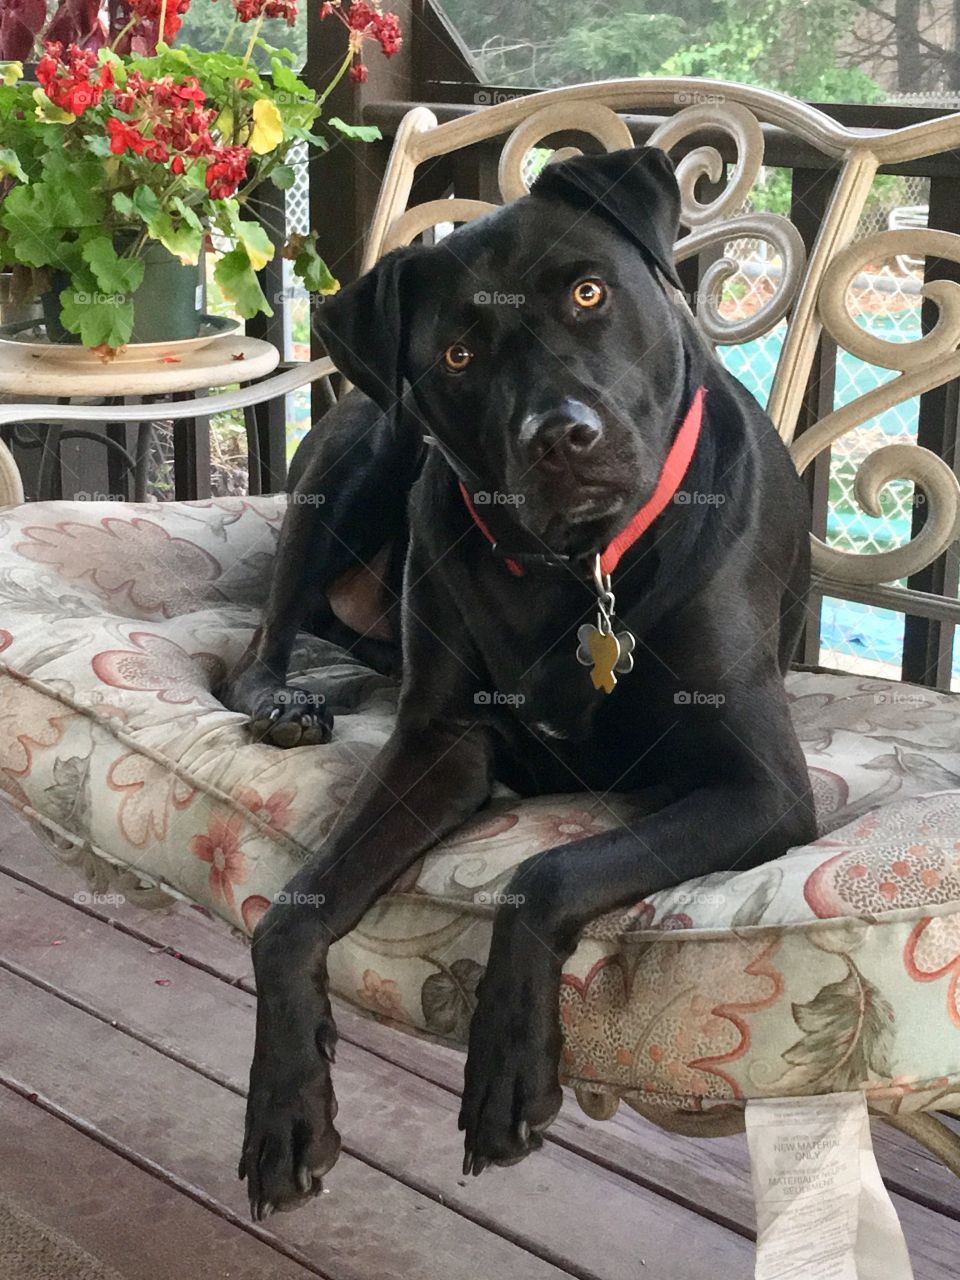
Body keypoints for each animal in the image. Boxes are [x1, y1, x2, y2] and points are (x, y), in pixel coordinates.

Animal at [224, 145, 814, 1213]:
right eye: (458, 357)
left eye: (589, 292)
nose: (560, 436)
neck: (575, 569)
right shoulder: (438, 744)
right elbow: (290, 915)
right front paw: (284, 1110)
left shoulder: (762, 788)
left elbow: (547, 872)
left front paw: (504, 1064)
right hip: (359, 459)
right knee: (260, 645)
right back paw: (284, 702)